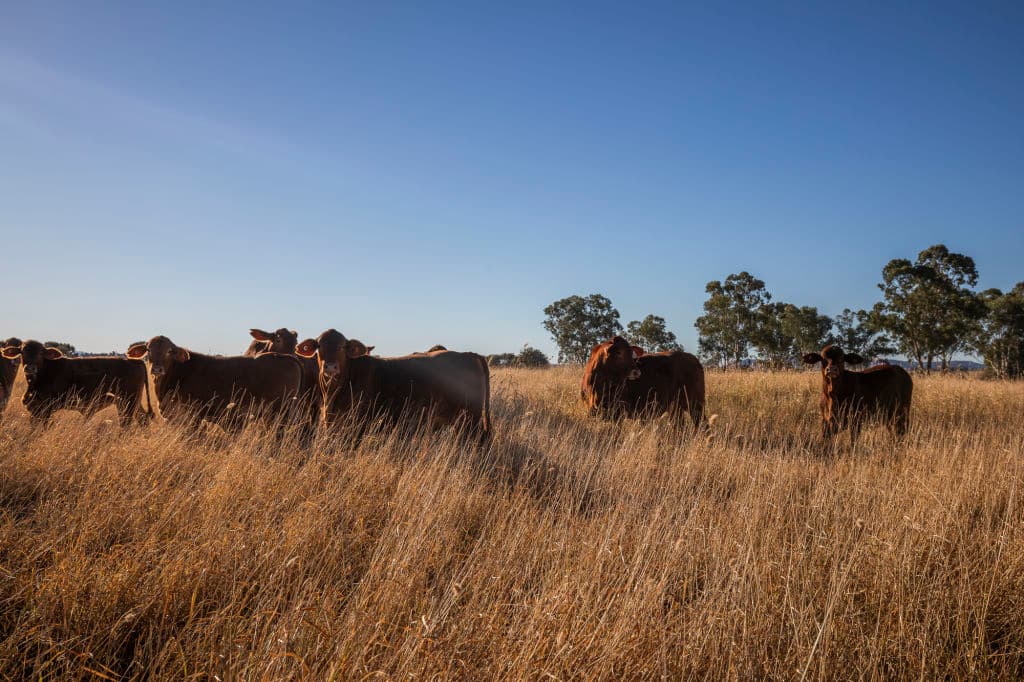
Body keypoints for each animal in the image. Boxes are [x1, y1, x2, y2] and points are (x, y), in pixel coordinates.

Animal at [0, 340, 152, 426]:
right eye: (22, 352)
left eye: (40, 353)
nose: (29, 368)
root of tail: (135, 360)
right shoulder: (35, 409)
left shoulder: (44, 409)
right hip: (132, 403)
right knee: (142, 419)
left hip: (127, 403)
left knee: (126, 424)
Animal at [126, 336, 302, 433]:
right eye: (148, 350)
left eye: (169, 351)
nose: (157, 368)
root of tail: (282, 356)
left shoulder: (193, 417)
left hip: (280, 413)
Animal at [296, 329, 491, 443]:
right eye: (319, 346)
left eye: (343, 346)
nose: (331, 367)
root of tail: (470, 355)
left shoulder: (358, 424)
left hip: (469, 421)